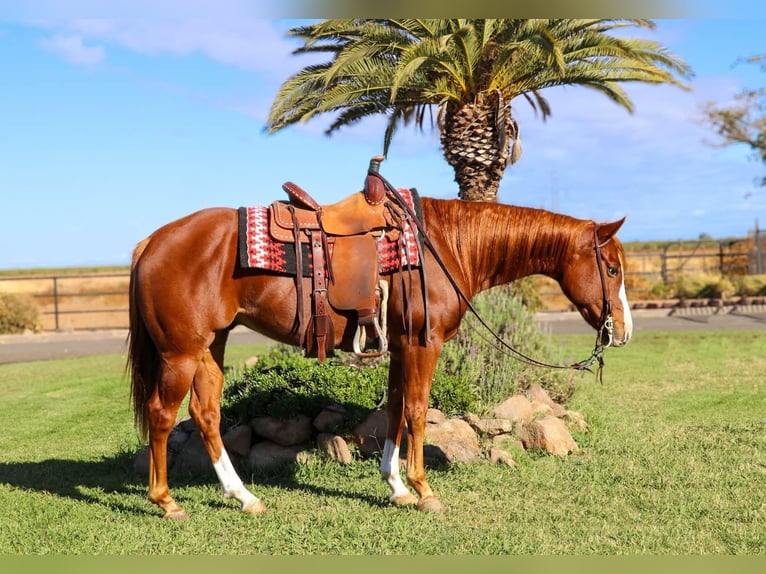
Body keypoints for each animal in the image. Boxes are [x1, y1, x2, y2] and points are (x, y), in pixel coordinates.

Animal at [127, 195, 633, 520]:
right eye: (611, 269)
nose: (623, 332)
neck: (443, 245)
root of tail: (151, 241)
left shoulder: (400, 345)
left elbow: (393, 411)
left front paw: (397, 488)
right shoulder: (424, 343)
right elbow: (417, 410)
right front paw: (424, 491)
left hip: (210, 346)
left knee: (206, 414)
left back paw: (245, 497)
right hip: (180, 352)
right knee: (162, 414)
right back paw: (167, 502)